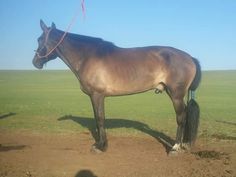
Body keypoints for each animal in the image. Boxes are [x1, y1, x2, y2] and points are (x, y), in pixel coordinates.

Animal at [32, 20, 200, 153]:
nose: (35, 62)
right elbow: (97, 119)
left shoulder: (97, 95)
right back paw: (184, 144)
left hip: (176, 95)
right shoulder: (95, 97)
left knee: (181, 117)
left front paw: (101, 147)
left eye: (40, 39)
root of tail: (190, 57)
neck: (87, 57)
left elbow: (100, 119)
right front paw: (100, 144)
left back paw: (175, 147)